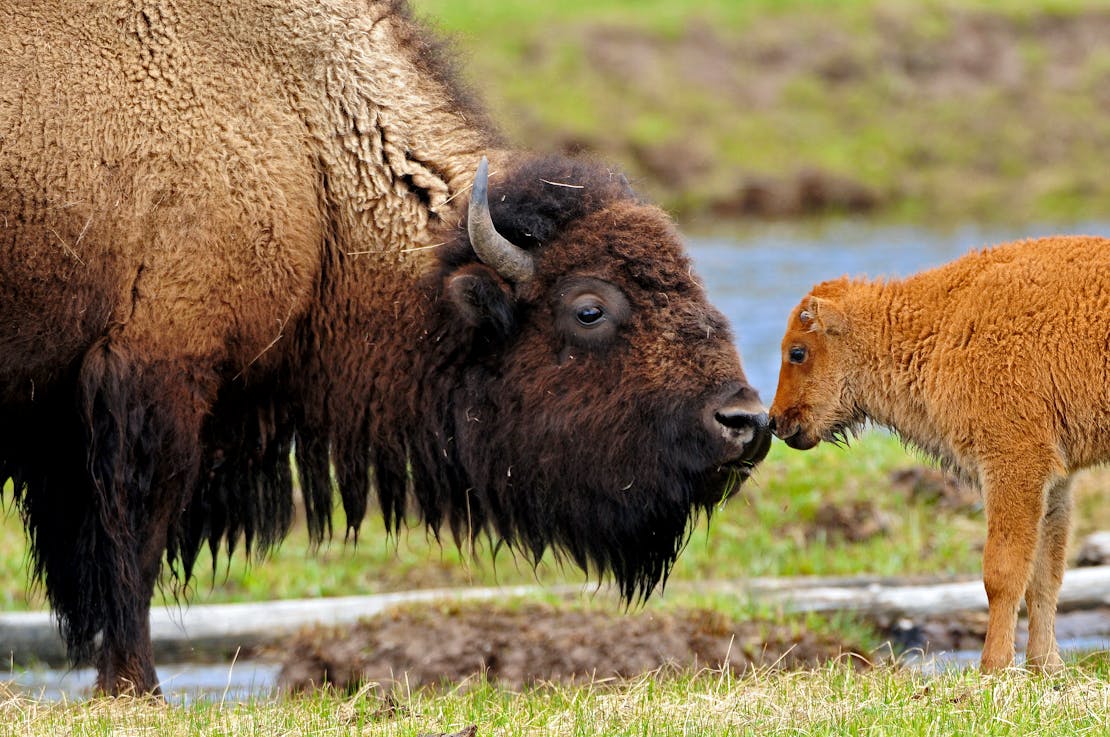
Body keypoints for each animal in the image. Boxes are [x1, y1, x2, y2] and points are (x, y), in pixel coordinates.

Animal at [0, 0, 771, 695]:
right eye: (589, 309)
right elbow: (131, 544)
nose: (744, 422)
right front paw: (134, 687)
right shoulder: (152, 377)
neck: (307, 151)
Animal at [768, 235, 1110, 674]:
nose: (774, 421)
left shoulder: (1013, 462)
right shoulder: (1055, 481)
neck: (945, 321)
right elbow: (1044, 575)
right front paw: (1045, 667)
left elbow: (1002, 572)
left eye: (798, 352)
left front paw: (992, 667)